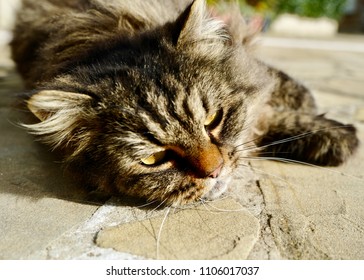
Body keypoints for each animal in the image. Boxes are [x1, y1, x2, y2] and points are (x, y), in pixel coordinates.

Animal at [10, 0, 358, 206]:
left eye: (213, 120)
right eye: (153, 159)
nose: (215, 172)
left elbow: (264, 86)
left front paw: (309, 107)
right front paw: (334, 135)